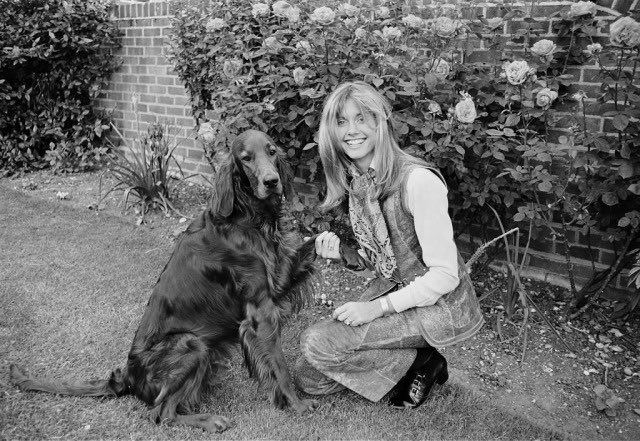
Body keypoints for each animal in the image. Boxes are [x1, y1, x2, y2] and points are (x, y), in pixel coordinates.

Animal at [13, 129, 324, 432]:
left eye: (271, 151)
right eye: (246, 158)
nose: (272, 182)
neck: (248, 216)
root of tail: (128, 376)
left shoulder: (276, 285)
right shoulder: (260, 309)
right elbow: (279, 365)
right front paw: (296, 404)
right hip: (192, 343)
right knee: (162, 413)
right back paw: (210, 421)